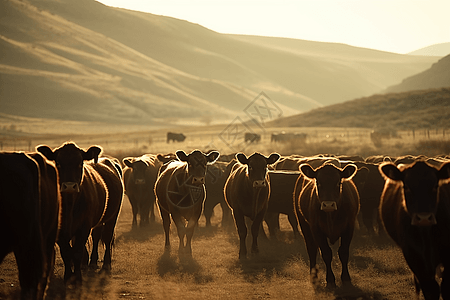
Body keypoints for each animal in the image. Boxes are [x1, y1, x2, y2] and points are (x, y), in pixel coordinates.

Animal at [37, 142, 123, 284]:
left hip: (113, 216)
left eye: (80, 163)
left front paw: (77, 277)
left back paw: (106, 264)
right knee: (96, 236)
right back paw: (92, 262)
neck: (70, 205)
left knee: (107, 237)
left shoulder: (84, 227)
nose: (69, 186)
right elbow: (66, 252)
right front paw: (68, 276)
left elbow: (77, 251)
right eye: (58, 163)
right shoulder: (60, 230)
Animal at [380, 162, 450, 300]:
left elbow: (446, 288)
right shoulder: (413, 255)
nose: (424, 218)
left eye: (435, 186)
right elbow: (431, 290)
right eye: (406, 187)